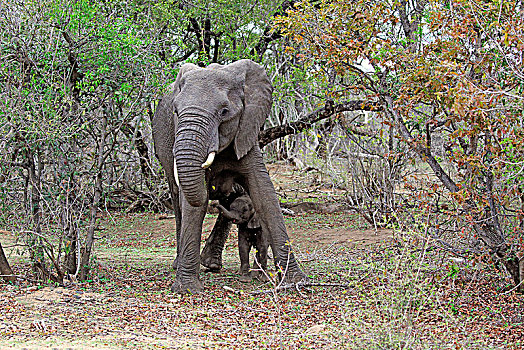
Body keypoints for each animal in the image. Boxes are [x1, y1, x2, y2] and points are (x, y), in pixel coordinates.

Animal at [151, 59, 304, 292]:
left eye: (224, 112)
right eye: (175, 111)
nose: (212, 194)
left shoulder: (246, 130)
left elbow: (264, 194)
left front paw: (295, 282)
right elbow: (192, 205)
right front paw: (188, 289)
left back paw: (211, 264)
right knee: (177, 200)